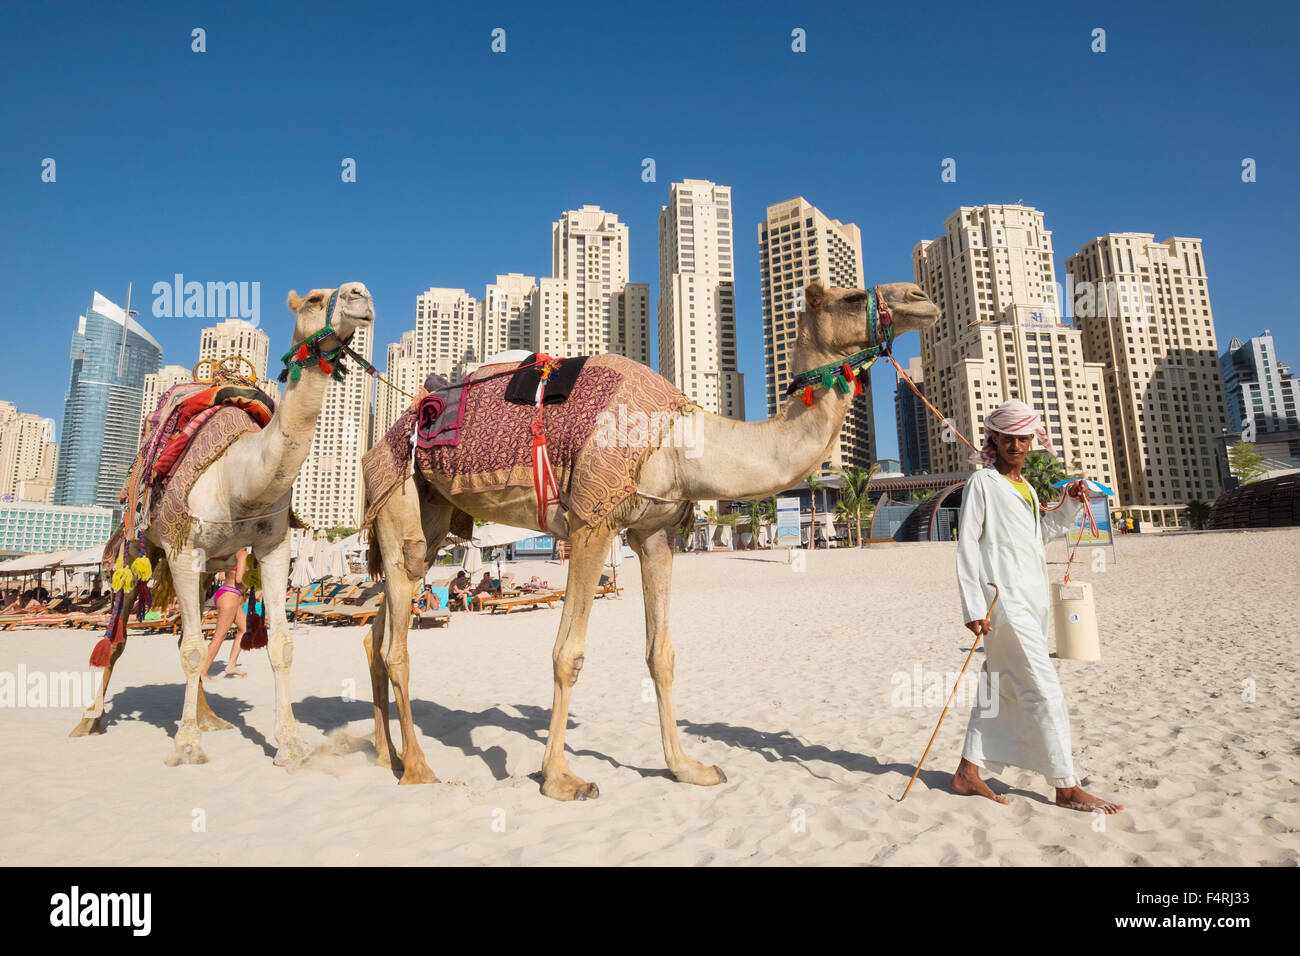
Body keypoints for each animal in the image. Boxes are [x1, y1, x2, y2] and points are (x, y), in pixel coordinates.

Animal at [70, 280, 377, 764]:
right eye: (314, 298)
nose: (360, 295)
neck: (241, 480)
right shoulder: (183, 549)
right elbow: (194, 650)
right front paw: (186, 747)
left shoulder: (273, 549)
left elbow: (279, 644)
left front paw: (290, 745)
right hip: (137, 546)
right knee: (119, 637)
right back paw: (91, 719)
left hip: (206, 567)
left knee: (185, 635)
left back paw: (209, 717)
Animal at [361, 282, 941, 801]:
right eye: (850, 296)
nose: (921, 298)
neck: (681, 444)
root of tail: (385, 435)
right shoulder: (590, 521)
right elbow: (568, 653)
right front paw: (561, 780)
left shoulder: (654, 533)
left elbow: (661, 653)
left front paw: (689, 768)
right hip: (399, 497)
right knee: (396, 642)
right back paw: (418, 767)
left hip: (433, 518)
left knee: (380, 629)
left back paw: (386, 755)